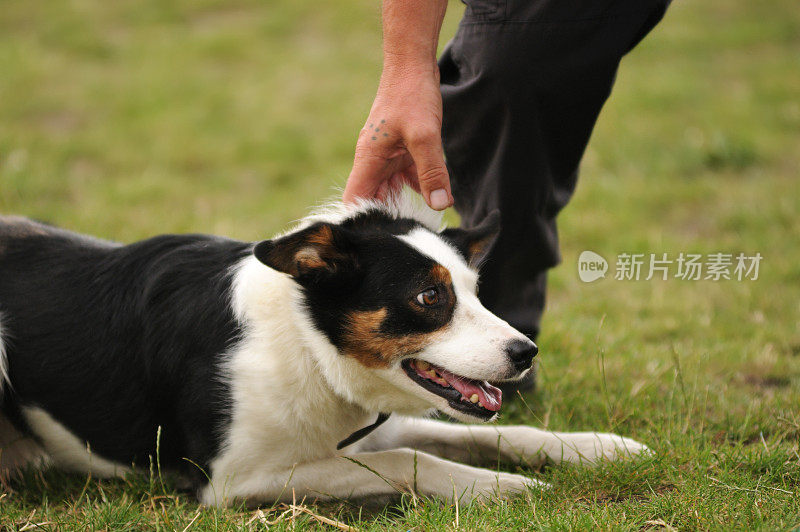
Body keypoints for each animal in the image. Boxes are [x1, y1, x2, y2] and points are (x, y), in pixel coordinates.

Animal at [0, 193, 648, 504]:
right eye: (429, 296)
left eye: (475, 291)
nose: (525, 352)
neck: (309, 347)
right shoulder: (234, 480)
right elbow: (408, 460)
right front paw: (503, 488)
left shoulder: (371, 426)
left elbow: (498, 433)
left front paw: (599, 448)